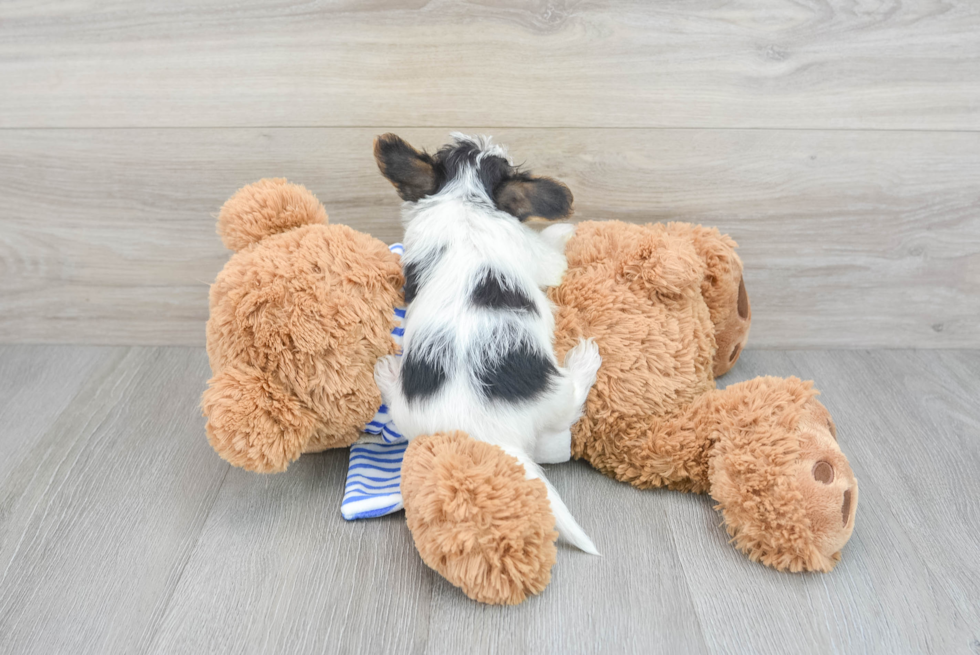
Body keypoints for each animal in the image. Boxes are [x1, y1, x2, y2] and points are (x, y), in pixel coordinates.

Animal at [376, 132, 600, 552]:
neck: (466, 196)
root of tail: (488, 435)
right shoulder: (542, 260)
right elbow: (552, 251)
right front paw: (563, 232)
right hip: (556, 395)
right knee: (568, 415)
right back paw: (585, 361)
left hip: (408, 416)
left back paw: (386, 373)